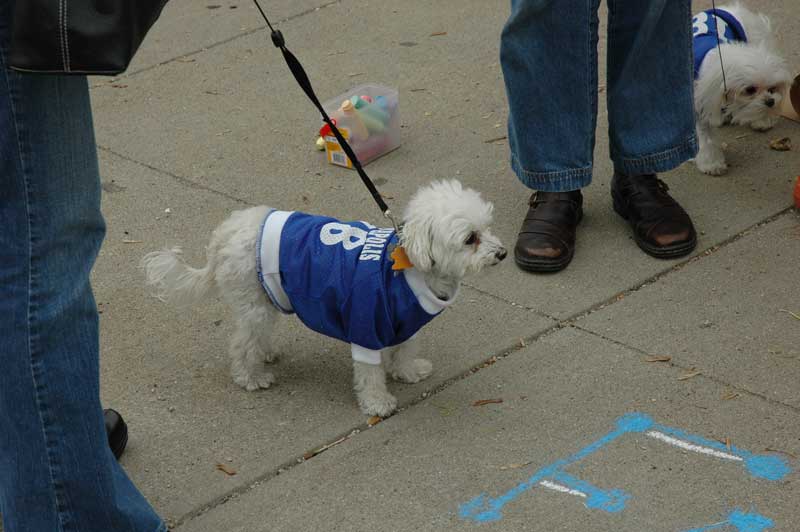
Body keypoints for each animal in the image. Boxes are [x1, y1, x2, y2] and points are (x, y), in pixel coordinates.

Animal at [142, 181, 506, 418]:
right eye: (470, 239)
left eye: (488, 228)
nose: (502, 253)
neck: (408, 267)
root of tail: (227, 232)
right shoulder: (365, 326)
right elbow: (370, 374)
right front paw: (377, 403)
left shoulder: (405, 323)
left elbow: (404, 350)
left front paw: (407, 371)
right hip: (254, 303)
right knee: (242, 344)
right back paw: (251, 377)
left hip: (264, 300)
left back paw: (265, 353)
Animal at [692, 3, 792, 176]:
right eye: (750, 90)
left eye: (772, 88)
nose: (770, 101)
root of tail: (730, 7)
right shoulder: (700, 102)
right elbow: (706, 135)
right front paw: (711, 162)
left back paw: (761, 120)